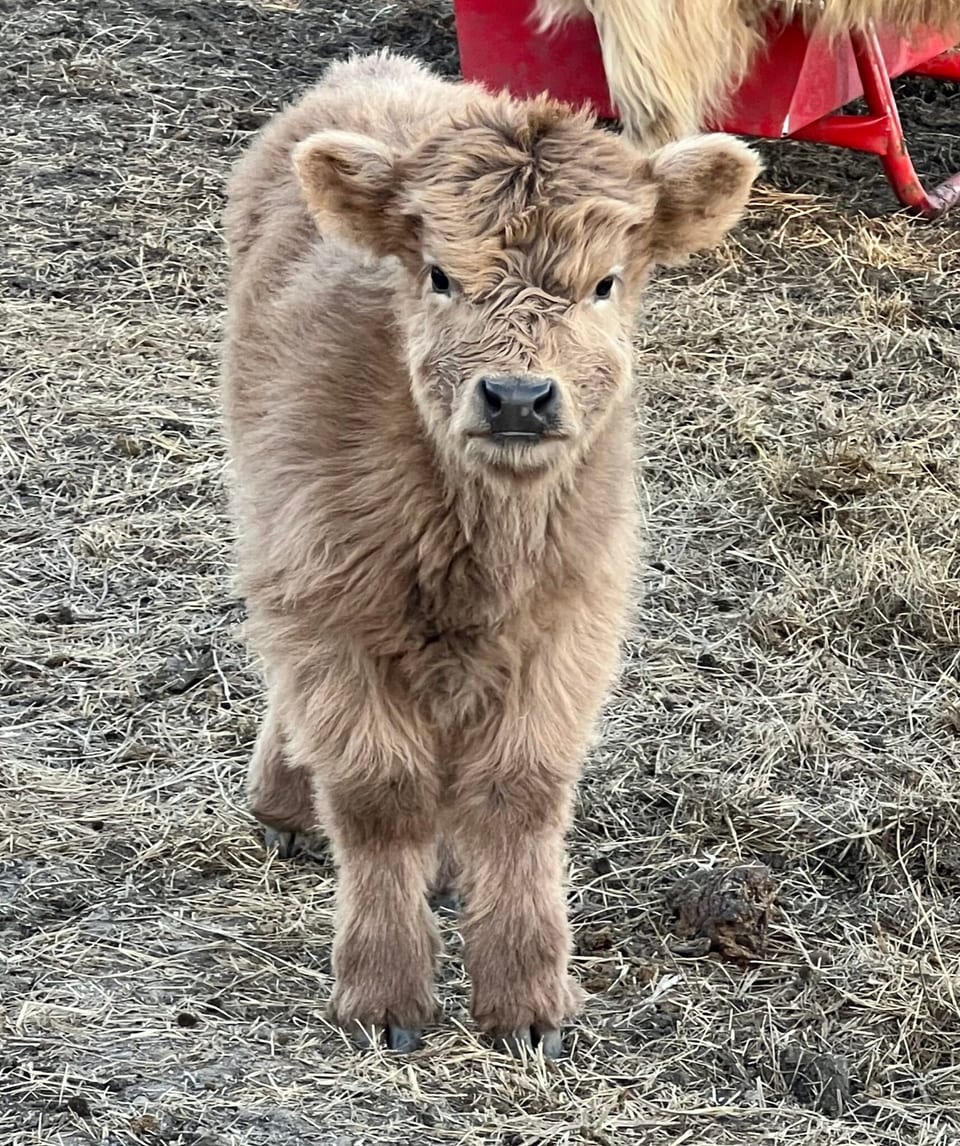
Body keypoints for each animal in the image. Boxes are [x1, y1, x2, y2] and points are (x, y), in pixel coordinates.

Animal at [220, 50, 760, 1056]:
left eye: (605, 283)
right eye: (438, 274)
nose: (517, 397)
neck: (479, 548)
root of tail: (377, 70)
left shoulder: (572, 624)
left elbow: (520, 794)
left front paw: (528, 997)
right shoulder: (330, 605)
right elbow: (378, 795)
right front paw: (383, 994)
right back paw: (284, 801)